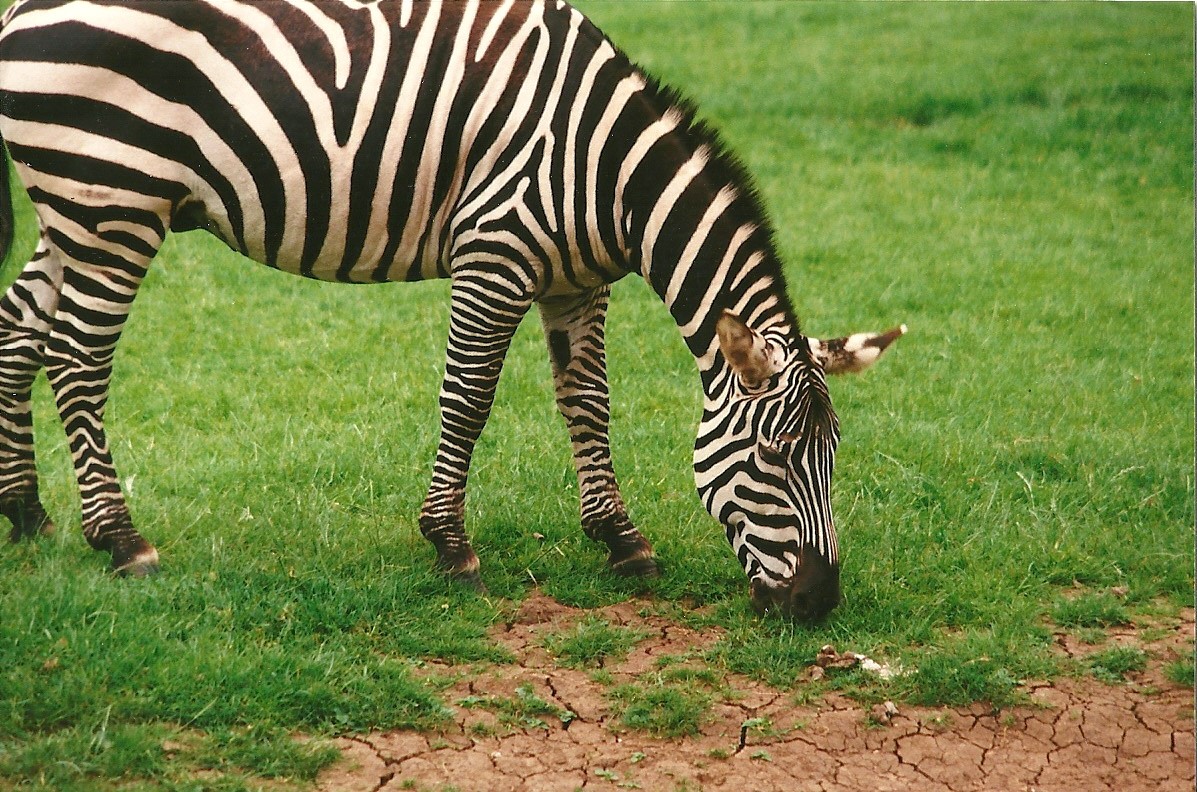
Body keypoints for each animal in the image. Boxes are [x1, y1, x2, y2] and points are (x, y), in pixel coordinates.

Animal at [0, 0, 903, 620]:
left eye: (833, 455)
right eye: (774, 458)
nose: (819, 603)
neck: (606, 172)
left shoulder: (577, 280)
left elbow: (588, 405)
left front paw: (620, 539)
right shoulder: (494, 254)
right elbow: (467, 400)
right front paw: (451, 546)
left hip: (76, 212)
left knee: (19, 332)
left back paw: (27, 514)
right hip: (115, 202)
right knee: (77, 357)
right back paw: (120, 539)